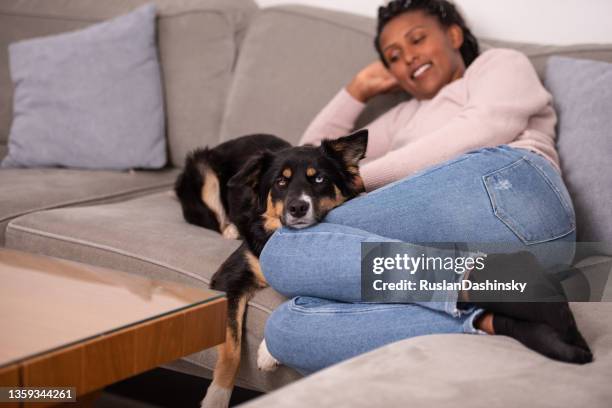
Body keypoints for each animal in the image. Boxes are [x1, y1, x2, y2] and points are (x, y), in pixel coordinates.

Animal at [175, 129, 370, 406]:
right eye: (280, 182)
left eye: (319, 178)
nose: (297, 208)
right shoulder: (229, 278)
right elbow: (231, 347)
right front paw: (217, 396)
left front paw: (268, 351)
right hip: (204, 173)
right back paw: (231, 229)